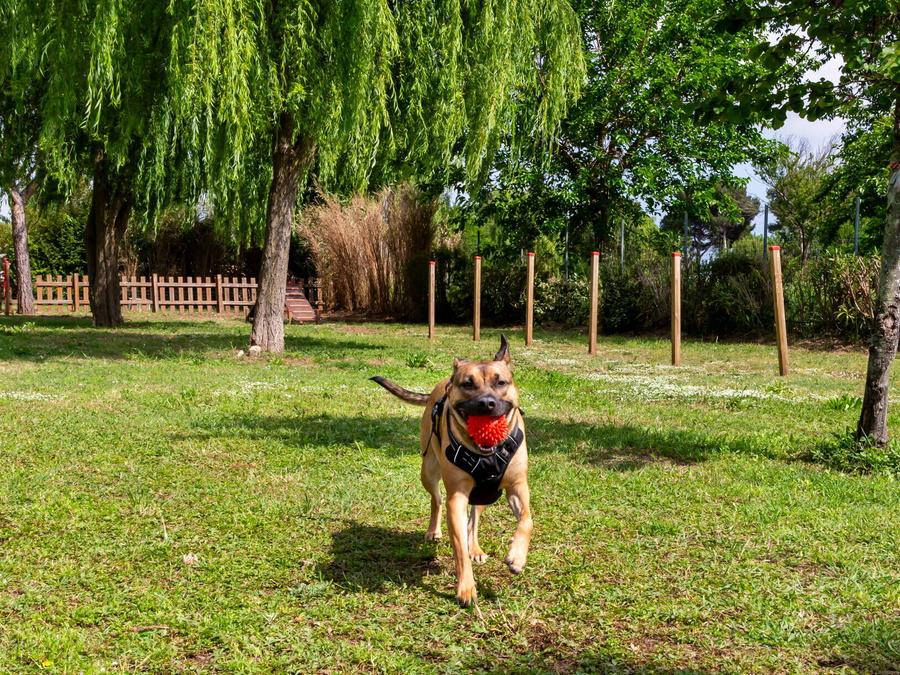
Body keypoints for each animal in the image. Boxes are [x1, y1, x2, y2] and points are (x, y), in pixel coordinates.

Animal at [371, 335, 531, 607]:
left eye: (501, 382)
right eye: (468, 384)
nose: (486, 403)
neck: (486, 453)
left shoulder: (518, 486)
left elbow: (527, 520)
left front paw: (517, 557)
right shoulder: (456, 497)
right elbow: (458, 548)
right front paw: (465, 588)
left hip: (483, 494)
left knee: (474, 520)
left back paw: (475, 548)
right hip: (428, 470)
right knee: (436, 500)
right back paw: (433, 531)